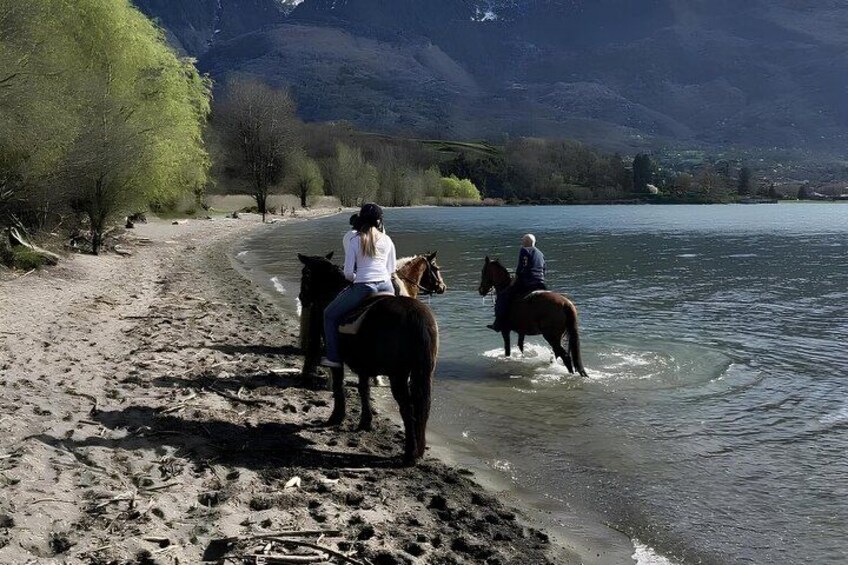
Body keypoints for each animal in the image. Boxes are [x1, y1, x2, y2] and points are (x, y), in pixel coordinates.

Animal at [297, 253, 440, 464]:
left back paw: (409, 454)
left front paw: (336, 417)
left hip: (398, 375)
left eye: (305, 274)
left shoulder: (339, 358)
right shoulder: (363, 364)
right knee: (421, 406)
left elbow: (340, 385)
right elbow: (363, 389)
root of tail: (416, 316)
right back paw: (417, 451)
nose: (302, 297)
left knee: (407, 407)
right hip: (422, 372)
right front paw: (366, 421)